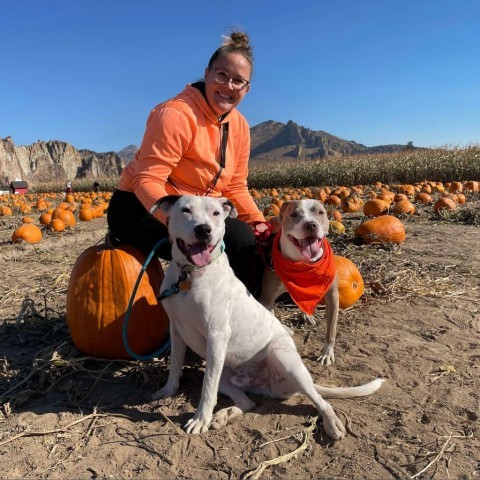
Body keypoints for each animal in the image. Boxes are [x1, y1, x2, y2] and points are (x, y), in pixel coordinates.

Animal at [260, 201, 340, 366]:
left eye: (320, 212)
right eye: (294, 215)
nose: (310, 225)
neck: (303, 264)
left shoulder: (333, 296)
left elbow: (331, 329)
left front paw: (327, 353)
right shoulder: (267, 298)